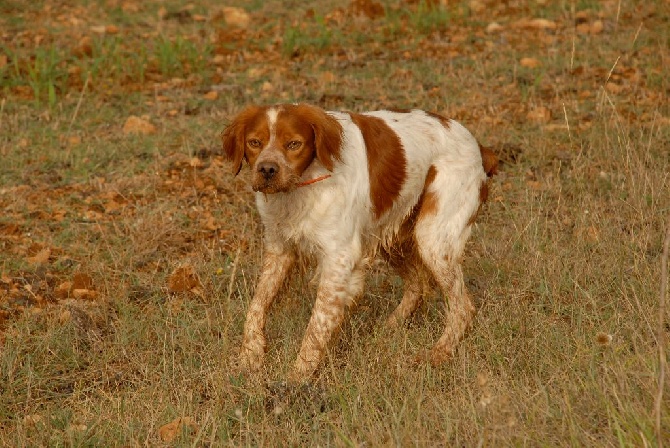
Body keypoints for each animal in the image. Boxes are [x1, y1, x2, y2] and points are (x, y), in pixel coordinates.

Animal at [224, 103, 498, 380]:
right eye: (254, 142)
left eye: (293, 144)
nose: (267, 169)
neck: (300, 188)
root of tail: (478, 147)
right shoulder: (279, 249)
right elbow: (257, 305)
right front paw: (250, 357)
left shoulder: (339, 258)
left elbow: (317, 324)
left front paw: (297, 377)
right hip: (393, 233)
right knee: (418, 285)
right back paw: (389, 329)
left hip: (433, 238)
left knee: (462, 307)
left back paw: (439, 354)